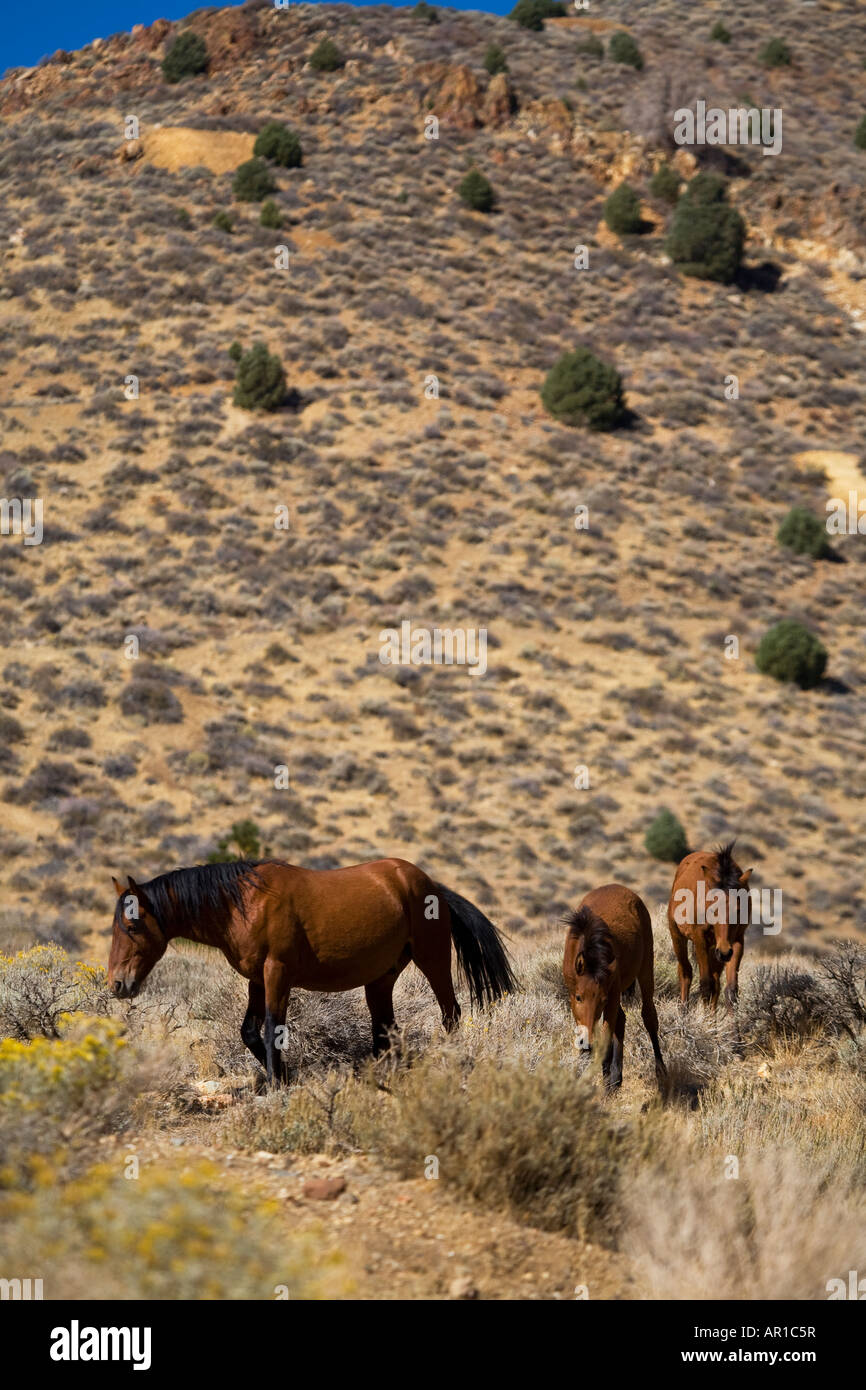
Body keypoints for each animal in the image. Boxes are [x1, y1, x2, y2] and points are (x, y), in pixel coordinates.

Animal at [107, 850, 514, 1078]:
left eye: (133, 925)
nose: (117, 984)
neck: (244, 903)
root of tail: (431, 885)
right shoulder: (257, 979)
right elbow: (250, 1032)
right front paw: (285, 1078)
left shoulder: (278, 973)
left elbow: (272, 1030)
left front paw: (278, 1084)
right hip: (380, 979)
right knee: (386, 1031)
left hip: (433, 961)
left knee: (451, 1014)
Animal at [561, 884, 664, 1089]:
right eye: (579, 997)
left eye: (602, 999)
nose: (589, 1043)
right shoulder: (573, 998)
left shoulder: (612, 996)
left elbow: (606, 1040)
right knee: (622, 1020)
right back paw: (615, 1077)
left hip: (646, 969)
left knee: (649, 1017)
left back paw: (660, 1070)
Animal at [670, 834, 750, 1011]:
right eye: (713, 910)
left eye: (738, 910)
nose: (725, 952)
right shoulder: (700, 939)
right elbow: (706, 984)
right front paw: (704, 1017)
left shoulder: (736, 942)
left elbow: (731, 989)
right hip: (678, 936)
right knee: (685, 972)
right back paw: (683, 1010)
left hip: (716, 949)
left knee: (716, 982)